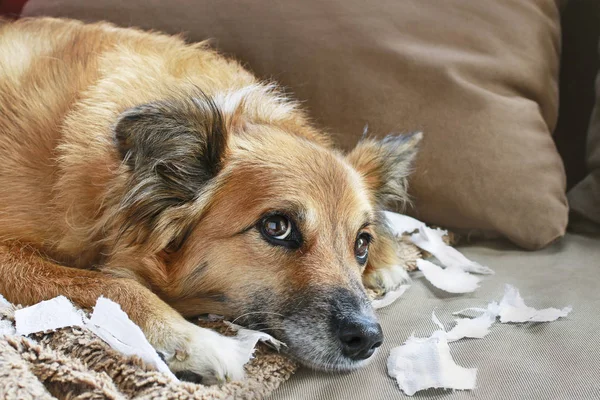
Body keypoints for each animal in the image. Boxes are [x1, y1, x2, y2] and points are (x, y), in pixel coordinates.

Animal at [0, 18, 420, 384]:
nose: (368, 339)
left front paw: (387, 263)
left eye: (361, 243)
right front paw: (194, 341)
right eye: (276, 227)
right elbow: (111, 284)